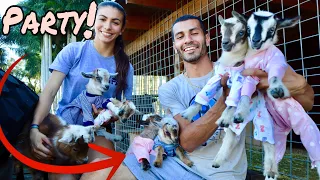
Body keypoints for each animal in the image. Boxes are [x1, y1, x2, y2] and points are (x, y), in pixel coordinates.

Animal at [234, 10, 320, 180]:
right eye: (248, 28)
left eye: (272, 30)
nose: (255, 41)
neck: (257, 55)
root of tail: (286, 126)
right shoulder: (250, 76)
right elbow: (245, 94)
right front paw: (239, 113)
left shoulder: (276, 61)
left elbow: (274, 74)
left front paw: (277, 89)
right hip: (274, 130)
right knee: (272, 151)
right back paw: (270, 173)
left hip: (299, 118)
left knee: (312, 138)